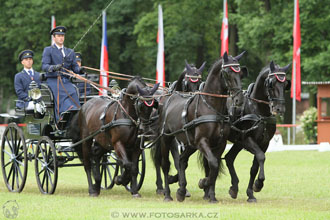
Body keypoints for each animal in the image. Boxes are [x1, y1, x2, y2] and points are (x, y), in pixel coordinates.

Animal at [159, 52, 246, 203]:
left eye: (240, 73)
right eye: (227, 73)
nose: (239, 99)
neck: (211, 107)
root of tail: (171, 96)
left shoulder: (220, 143)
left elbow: (214, 167)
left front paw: (212, 196)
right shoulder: (202, 141)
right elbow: (213, 164)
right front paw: (203, 183)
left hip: (190, 144)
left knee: (182, 160)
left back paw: (181, 191)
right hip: (167, 138)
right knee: (165, 165)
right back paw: (168, 194)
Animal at [208, 61, 290, 202]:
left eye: (285, 84)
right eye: (271, 83)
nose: (279, 109)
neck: (259, 110)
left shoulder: (264, 143)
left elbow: (254, 167)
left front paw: (251, 192)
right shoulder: (248, 139)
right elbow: (261, 157)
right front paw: (259, 183)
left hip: (237, 142)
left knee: (229, 158)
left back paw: (234, 188)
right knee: (218, 160)